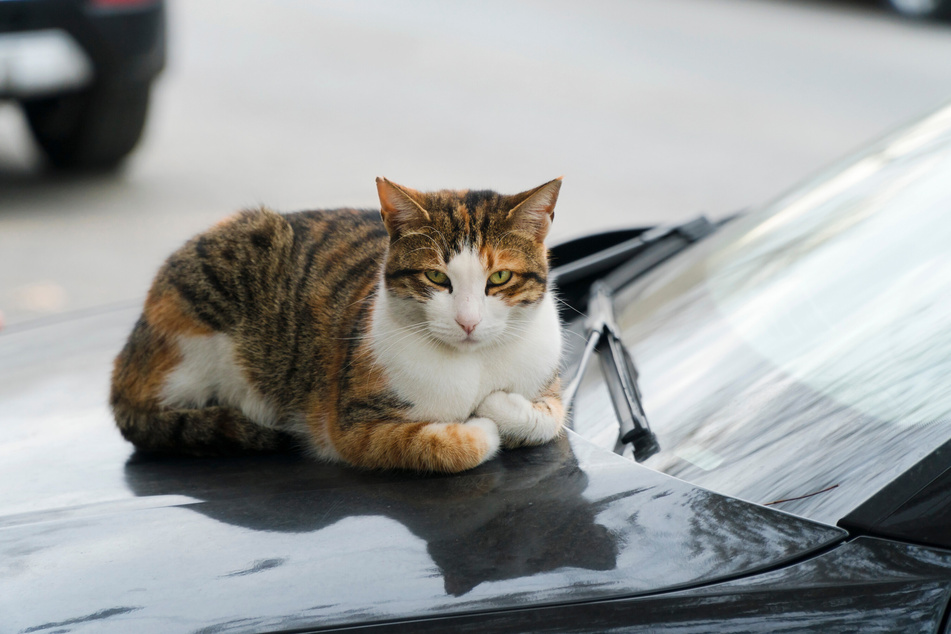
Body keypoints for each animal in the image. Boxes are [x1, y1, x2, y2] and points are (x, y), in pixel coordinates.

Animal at [115, 175, 568, 472]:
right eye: (436, 277)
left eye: (500, 278)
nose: (468, 322)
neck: (474, 367)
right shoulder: (352, 426)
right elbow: (446, 444)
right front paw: (480, 425)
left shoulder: (548, 386)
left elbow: (547, 417)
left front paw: (499, 407)